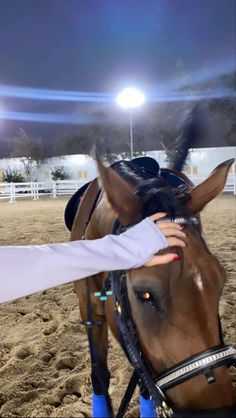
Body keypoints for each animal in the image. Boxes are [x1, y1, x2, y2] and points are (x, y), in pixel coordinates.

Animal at [67, 117, 236, 418]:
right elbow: (100, 378)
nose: (220, 414)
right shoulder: (92, 318)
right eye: (144, 293)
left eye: (220, 281)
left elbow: (145, 389)